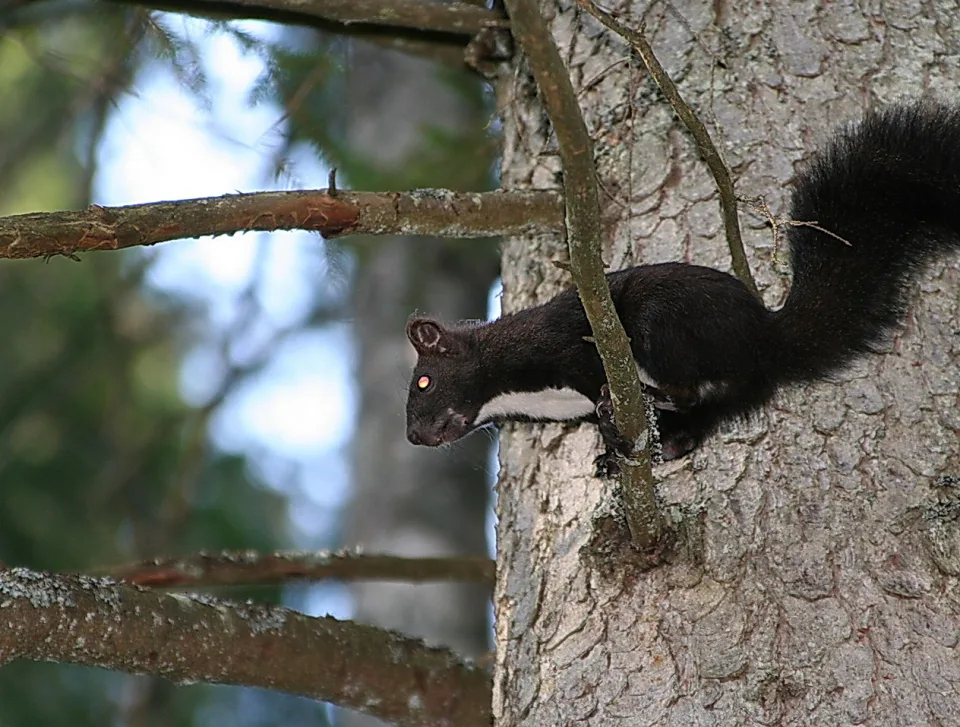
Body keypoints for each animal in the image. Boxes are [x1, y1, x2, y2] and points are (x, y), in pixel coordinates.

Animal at [404, 102, 960, 472]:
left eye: (423, 382)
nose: (413, 435)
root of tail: (764, 341)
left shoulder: (567, 342)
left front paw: (613, 423)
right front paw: (611, 454)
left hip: (666, 324)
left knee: (685, 387)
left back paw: (648, 399)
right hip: (721, 389)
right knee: (695, 417)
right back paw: (657, 444)